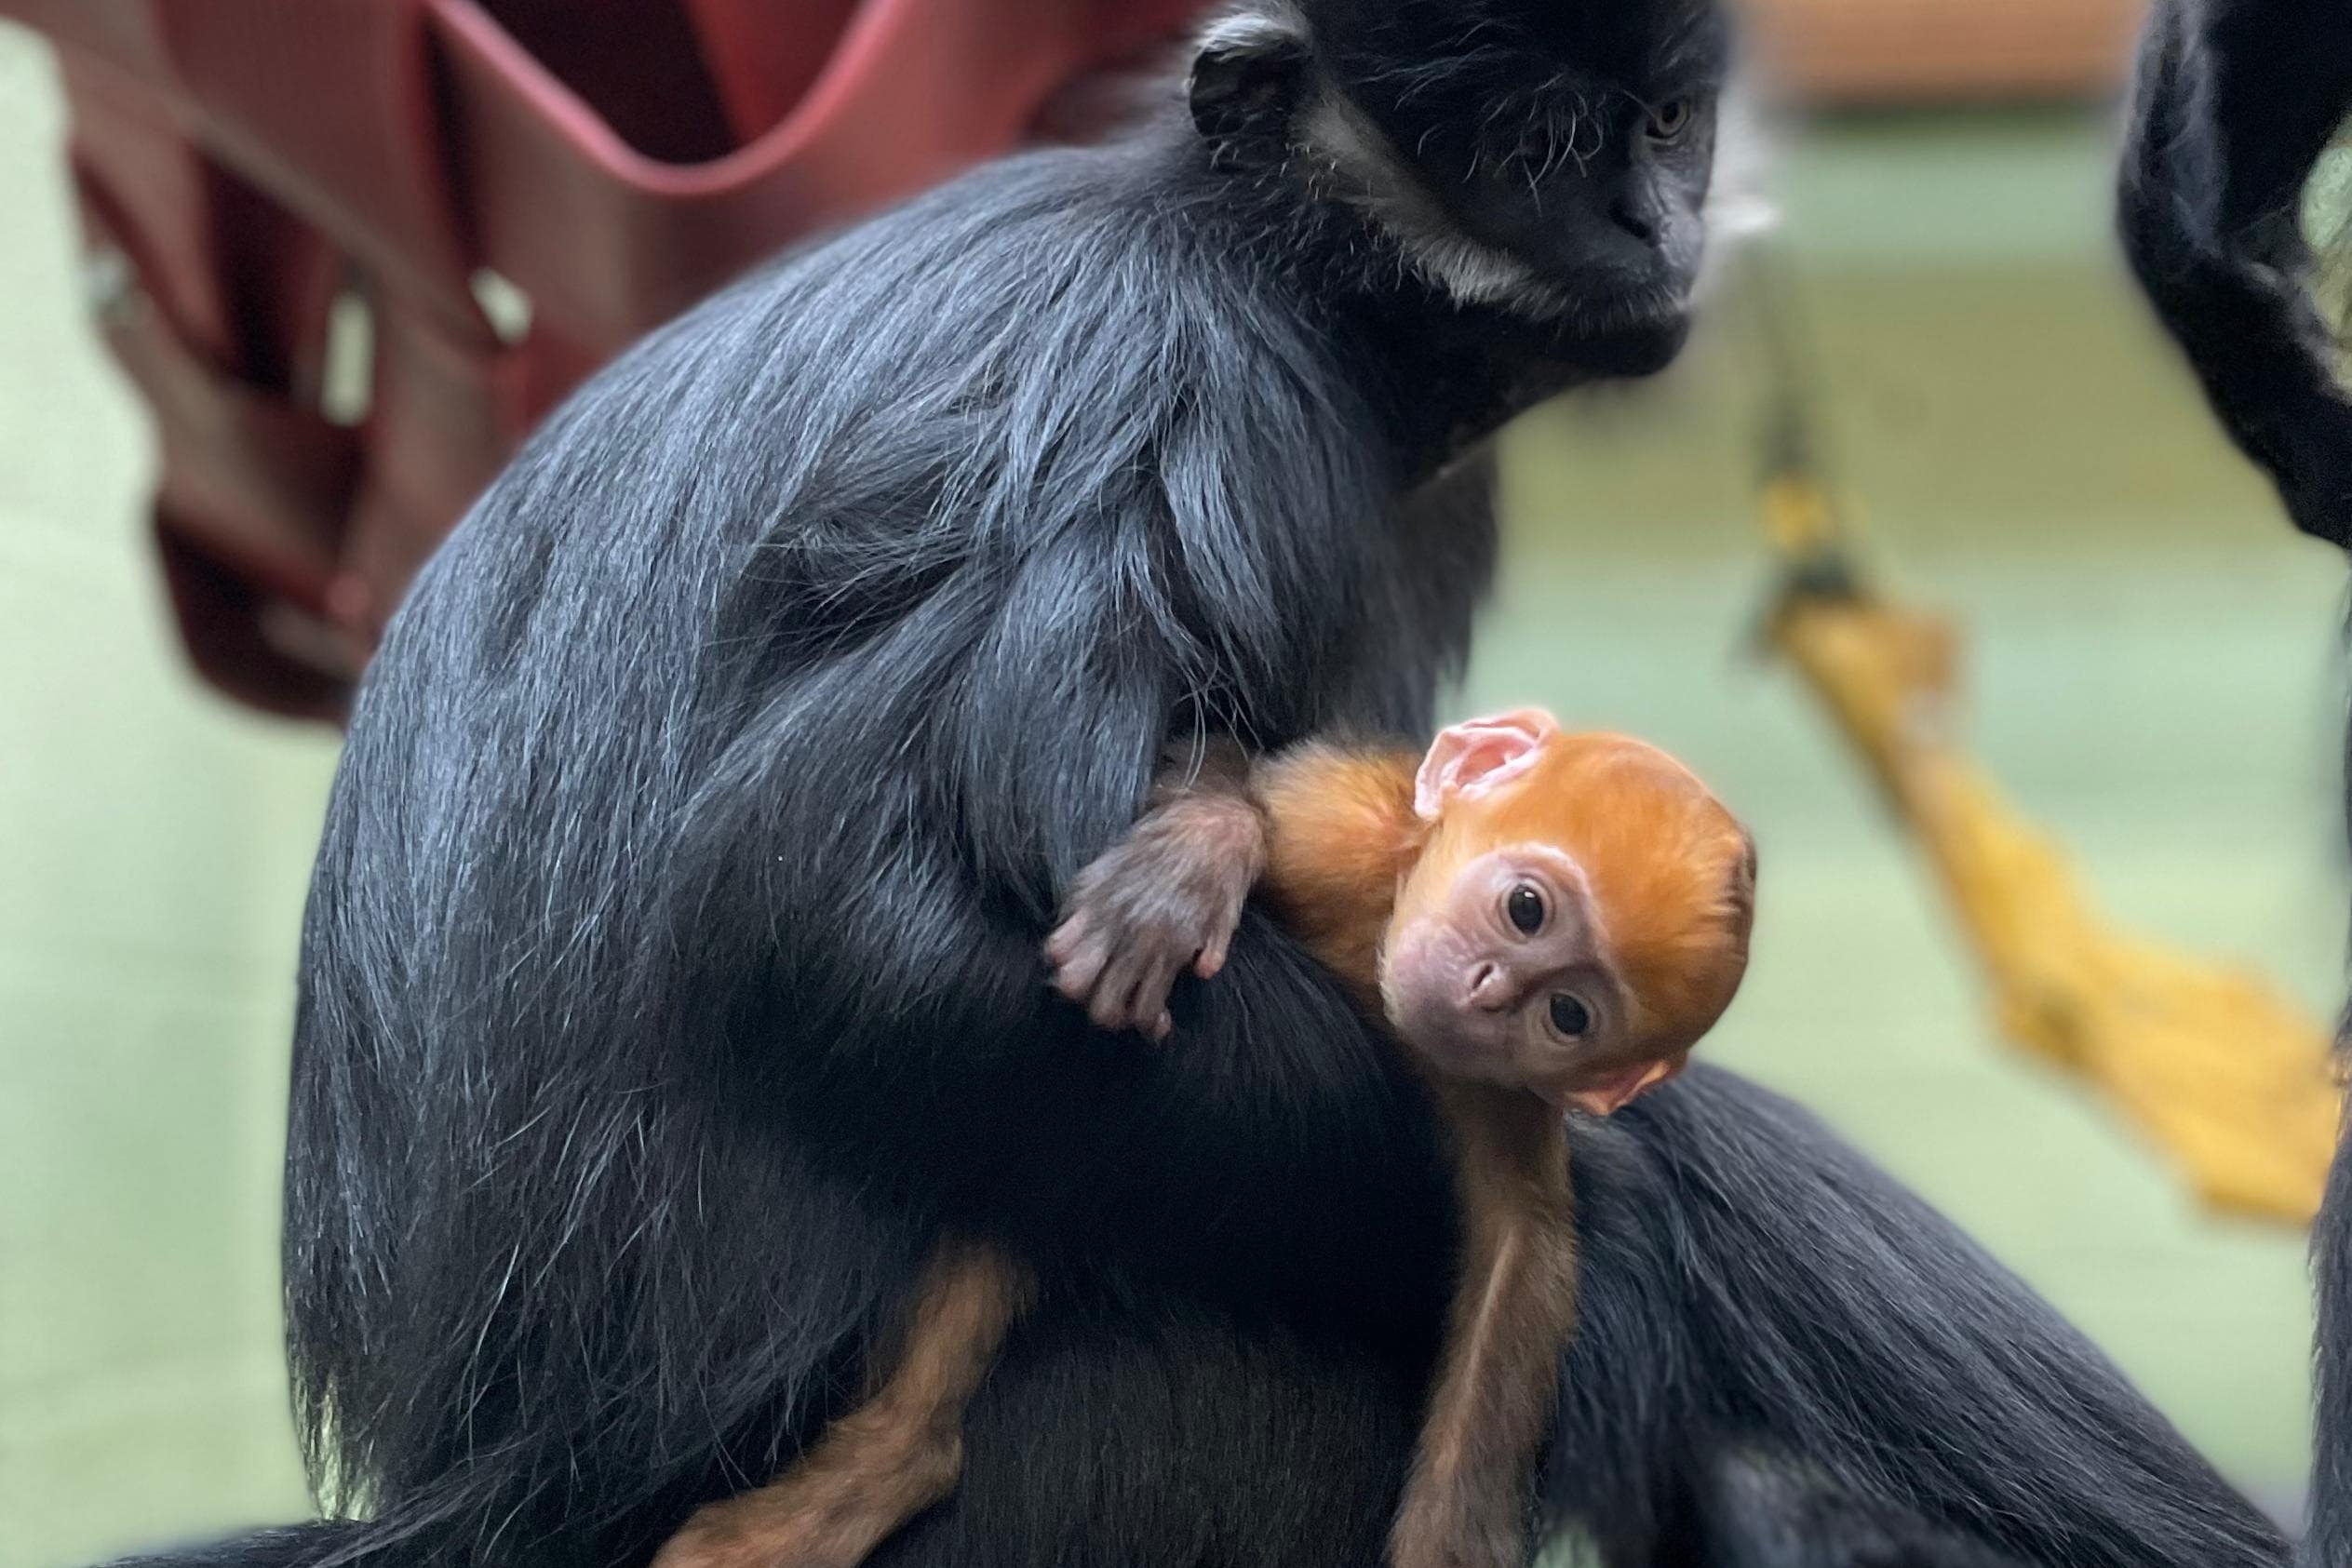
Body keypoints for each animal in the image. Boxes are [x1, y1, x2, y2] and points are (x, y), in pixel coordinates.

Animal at [653, 709, 1759, 1568]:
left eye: (1567, 1014)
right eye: (1525, 907)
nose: (1491, 992)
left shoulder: (1497, 1093)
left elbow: (1518, 1272)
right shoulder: (1339, 825)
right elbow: (1219, 770)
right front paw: (1193, 859)